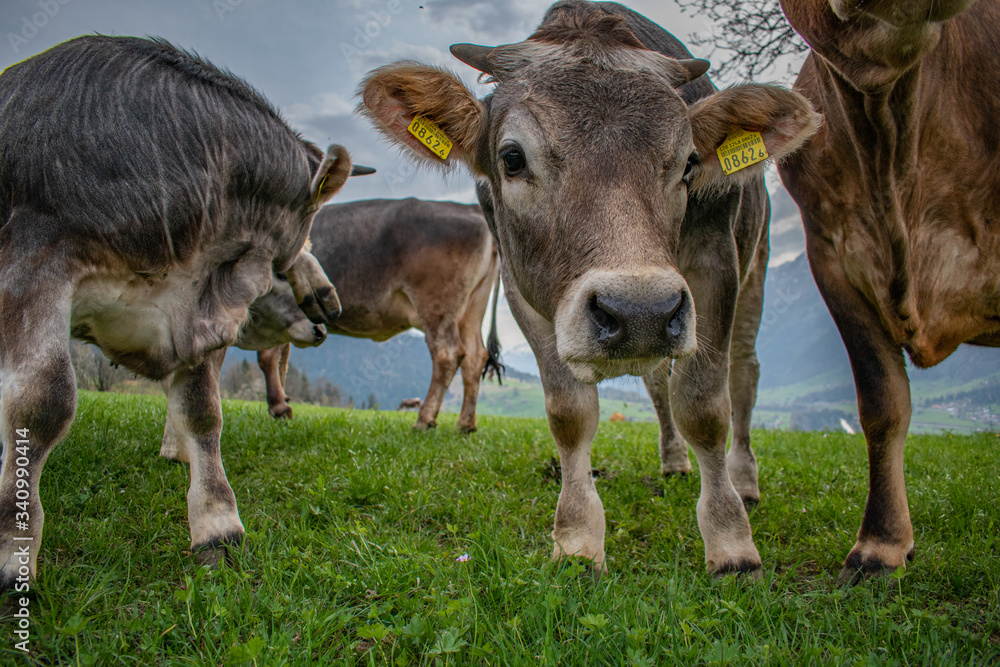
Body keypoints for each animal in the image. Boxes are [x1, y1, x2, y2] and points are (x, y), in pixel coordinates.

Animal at [360, 0, 820, 576]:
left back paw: (746, 480)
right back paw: (673, 462)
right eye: (512, 158)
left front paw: (731, 544)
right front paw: (577, 539)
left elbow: (704, 406)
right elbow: (570, 413)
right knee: (657, 383)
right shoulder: (522, 286)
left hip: (752, 266)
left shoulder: (715, 265)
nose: (640, 311)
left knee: (743, 375)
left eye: (690, 162)